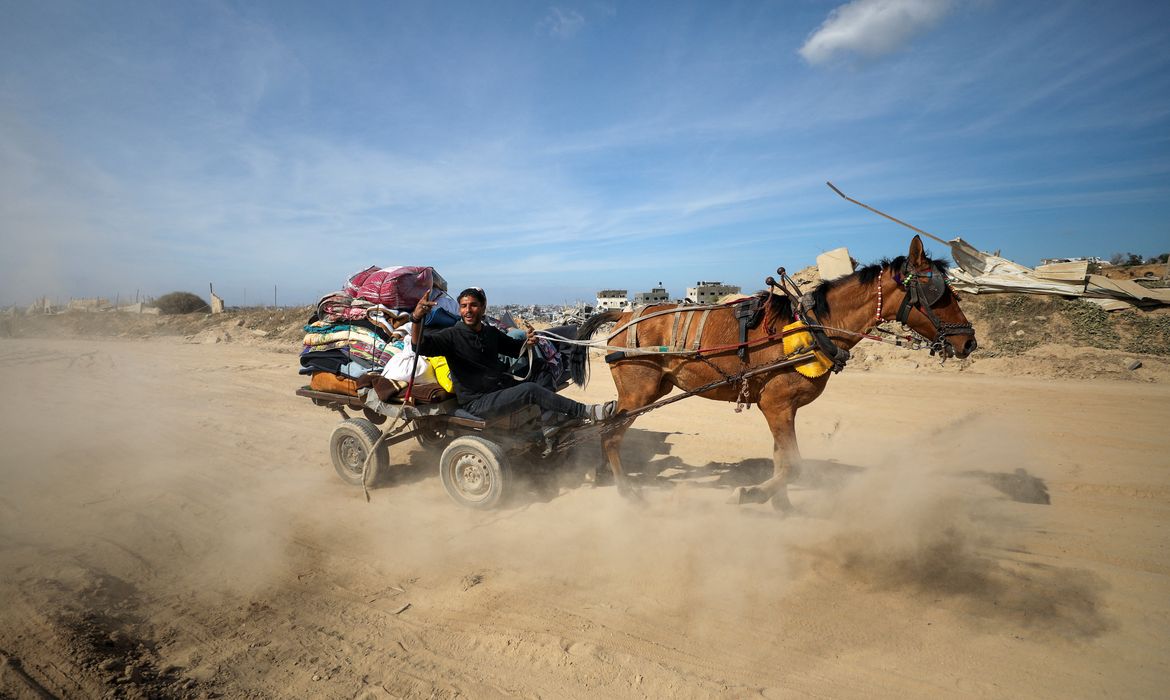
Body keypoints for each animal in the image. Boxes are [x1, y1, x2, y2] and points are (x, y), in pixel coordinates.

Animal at [570, 236, 973, 510]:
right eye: (939, 293)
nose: (969, 342)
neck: (815, 325)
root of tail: (623, 314)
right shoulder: (777, 405)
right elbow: (792, 464)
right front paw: (755, 493)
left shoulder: (782, 409)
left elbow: (783, 460)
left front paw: (781, 504)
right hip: (640, 392)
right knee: (611, 435)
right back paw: (627, 491)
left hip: (645, 393)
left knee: (608, 426)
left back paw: (604, 475)